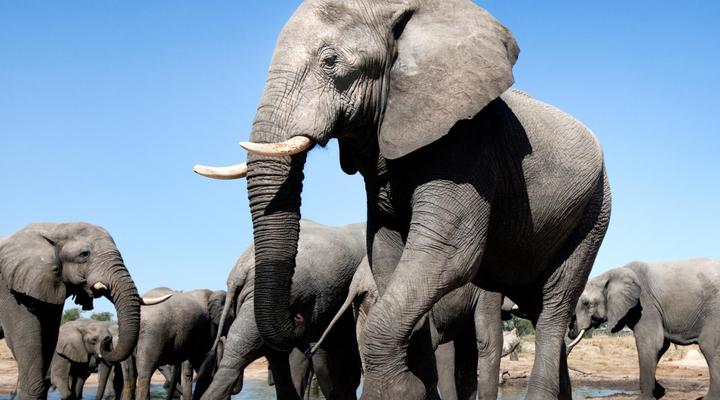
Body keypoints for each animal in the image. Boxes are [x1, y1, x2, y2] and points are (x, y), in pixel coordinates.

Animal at [0, 222, 169, 399]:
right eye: (84, 254)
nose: (108, 340)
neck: (53, 227)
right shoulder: (10, 291)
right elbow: (26, 342)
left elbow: (48, 338)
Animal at [569, 259, 720, 400]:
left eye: (586, 304)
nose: (571, 331)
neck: (610, 274)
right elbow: (661, 346)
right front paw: (659, 392)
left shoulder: (645, 304)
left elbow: (651, 343)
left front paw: (644, 397)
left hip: (714, 310)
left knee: (708, 345)